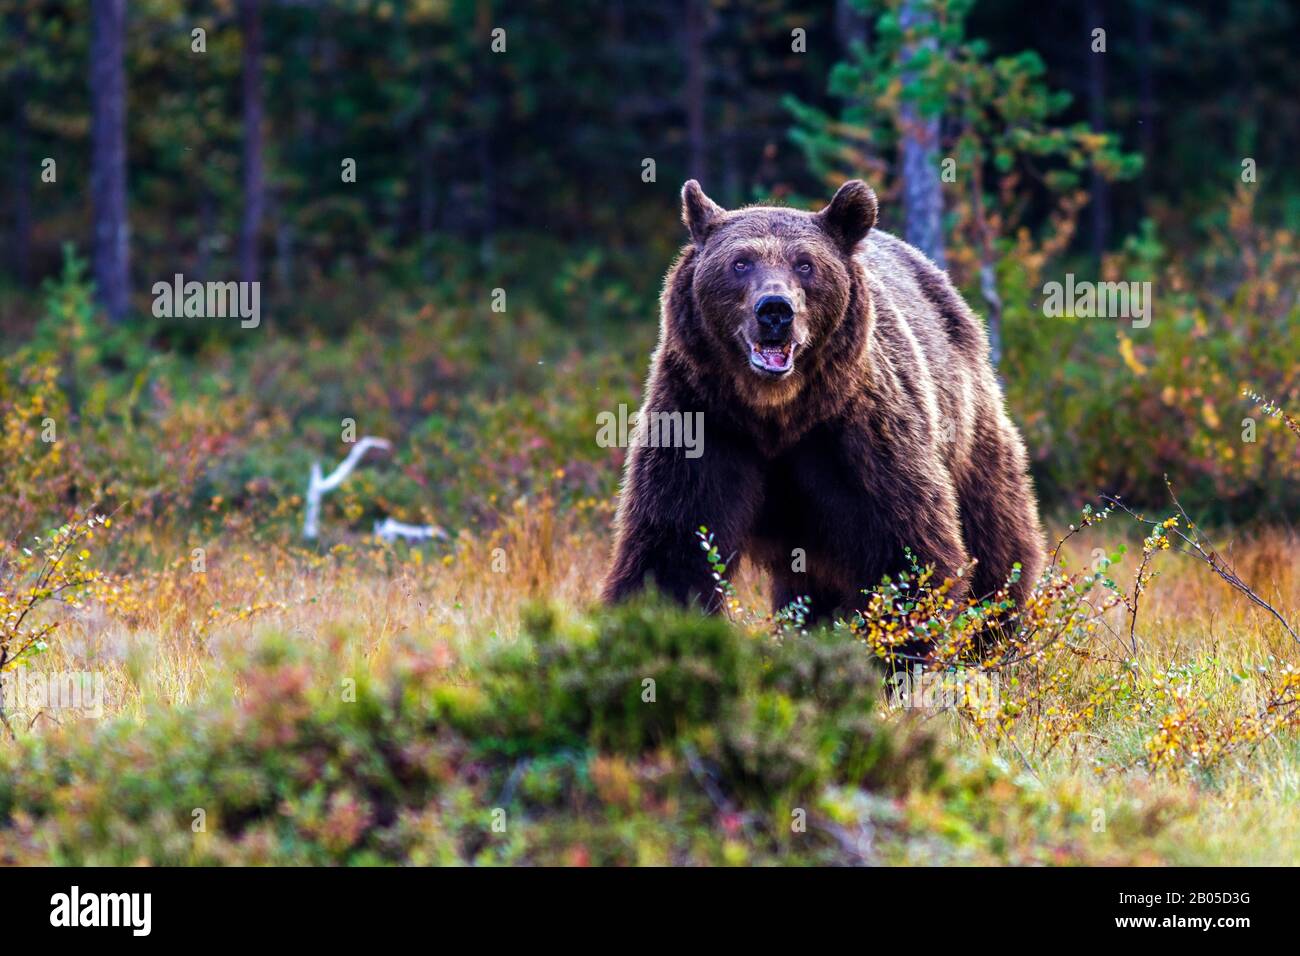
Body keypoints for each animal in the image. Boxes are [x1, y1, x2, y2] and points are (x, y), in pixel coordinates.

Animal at [600, 180, 1045, 642]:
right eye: (740, 262)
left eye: (805, 264)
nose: (775, 309)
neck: (774, 413)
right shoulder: (703, 420)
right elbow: (673, 547)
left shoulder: (858, 434)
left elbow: (907, 549)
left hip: (967, 426)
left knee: (997, 538)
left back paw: (996, 632)